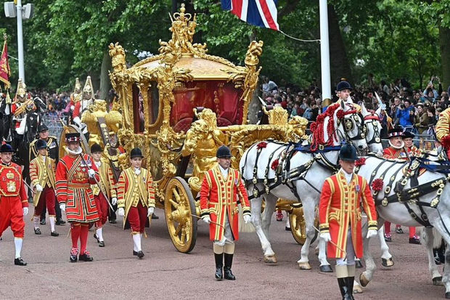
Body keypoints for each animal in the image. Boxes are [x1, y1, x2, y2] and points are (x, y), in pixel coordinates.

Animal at [241, 101, 368, 270]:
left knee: (264, 221)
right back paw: (267, 250)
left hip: (271, 194)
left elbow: (323, 229)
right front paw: (304, 259)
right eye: (349, 122)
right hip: (255, 191)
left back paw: (267, 250)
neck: (318, 160)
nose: (362, 147)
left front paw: (323, 260)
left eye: (362, 122)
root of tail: (252, 147)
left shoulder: (325, 200)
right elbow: (309, 231)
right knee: (256, 220)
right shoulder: (308, 200)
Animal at [356, 155, 450, 298]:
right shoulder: (440, 220)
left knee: (363, 236)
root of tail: (361, 160)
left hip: (378, 215)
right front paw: (447, 284)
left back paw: (367, 274)